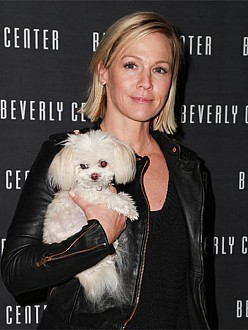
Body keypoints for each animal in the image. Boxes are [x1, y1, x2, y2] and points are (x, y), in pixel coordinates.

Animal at [43, 130, 140, 310]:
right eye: (83, 166)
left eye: (103, 163)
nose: (94, 176)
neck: (95, 187)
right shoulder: (89, 195)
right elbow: (108, 196)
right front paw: (127, 207)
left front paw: (128, 203)